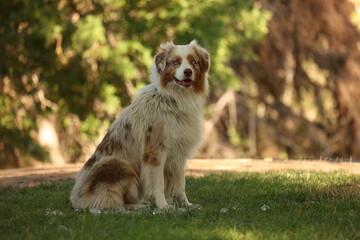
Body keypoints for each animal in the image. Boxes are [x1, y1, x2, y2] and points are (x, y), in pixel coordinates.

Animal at [70, 40, 210, 209]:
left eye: (193, 61)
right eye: (175, 62)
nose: (188, 72)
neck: (175, 99)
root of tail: (77, 199)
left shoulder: (178, 153)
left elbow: (179, 184)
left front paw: (186, 205)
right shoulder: (155, 153)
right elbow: (158, 184)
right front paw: (163, 207)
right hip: (118, 163)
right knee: (114, 201)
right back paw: (138, 206)